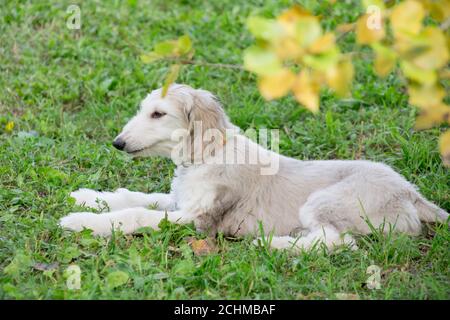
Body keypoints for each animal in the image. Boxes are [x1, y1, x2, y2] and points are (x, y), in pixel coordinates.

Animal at [59, 84, 446, 251]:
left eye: (158, 114)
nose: (118, 143)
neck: (209, 155)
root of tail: (412, 194)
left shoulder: (197, 219)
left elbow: (136, 214)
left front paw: (81, 222)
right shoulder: (181, 201)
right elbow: (135, 197)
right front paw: (86, 198)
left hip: (328, 201)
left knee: (338, 242)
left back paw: (271, 243)